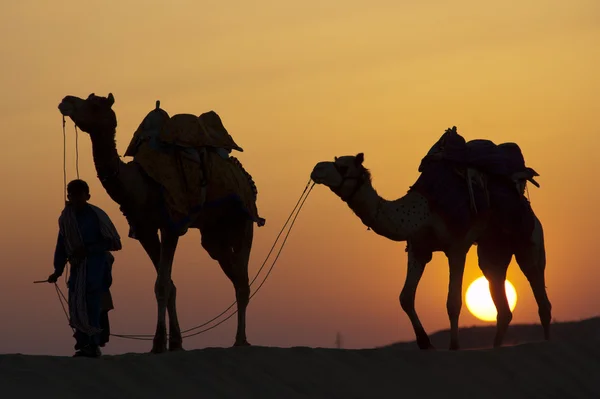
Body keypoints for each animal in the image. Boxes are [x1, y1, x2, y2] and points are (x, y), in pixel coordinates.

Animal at [58, 93, 260, 354]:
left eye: (94, 104)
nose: (66, 100)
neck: (140, 185)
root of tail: (243, 177)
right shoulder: (145, 230)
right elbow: (169, 285)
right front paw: (174, 343)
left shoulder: (171, 222)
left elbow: (162, 284)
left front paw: (157, 343)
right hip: (214, 234)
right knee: (234, 272)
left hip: (243, 220)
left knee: (243, 279)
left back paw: (240, 340)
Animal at [312, 150, 552, 350]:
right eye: (335, 161)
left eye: (343, 167)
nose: (316, 169)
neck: (421, 211)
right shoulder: (418, 249)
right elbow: (405, 297)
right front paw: (424, 342)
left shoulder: (457, 247)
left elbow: (453, 302)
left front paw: (454, 347)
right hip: (493, 250)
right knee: (501, 301)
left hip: (529, 241)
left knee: (539, 291)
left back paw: (547, 341)